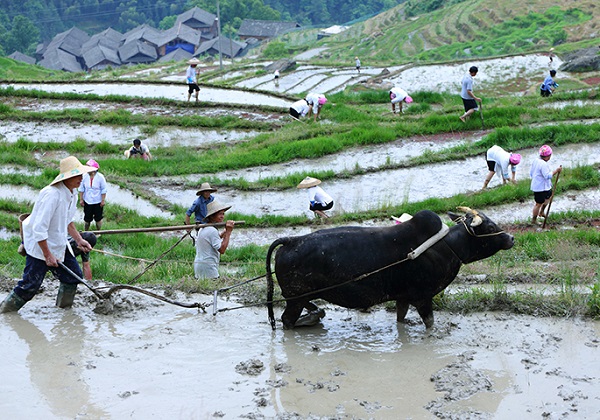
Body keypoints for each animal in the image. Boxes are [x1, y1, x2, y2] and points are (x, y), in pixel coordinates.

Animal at [268, 208, 516, 330]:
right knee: (286, 320)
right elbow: (430, 324)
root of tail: (291, 240)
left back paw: (314, 316)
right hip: (295, 299)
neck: (446, 246)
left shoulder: (403, 298)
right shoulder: (423, 298)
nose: (511, 238)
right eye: (490, 227)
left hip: (297, 297)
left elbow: (401, 319)